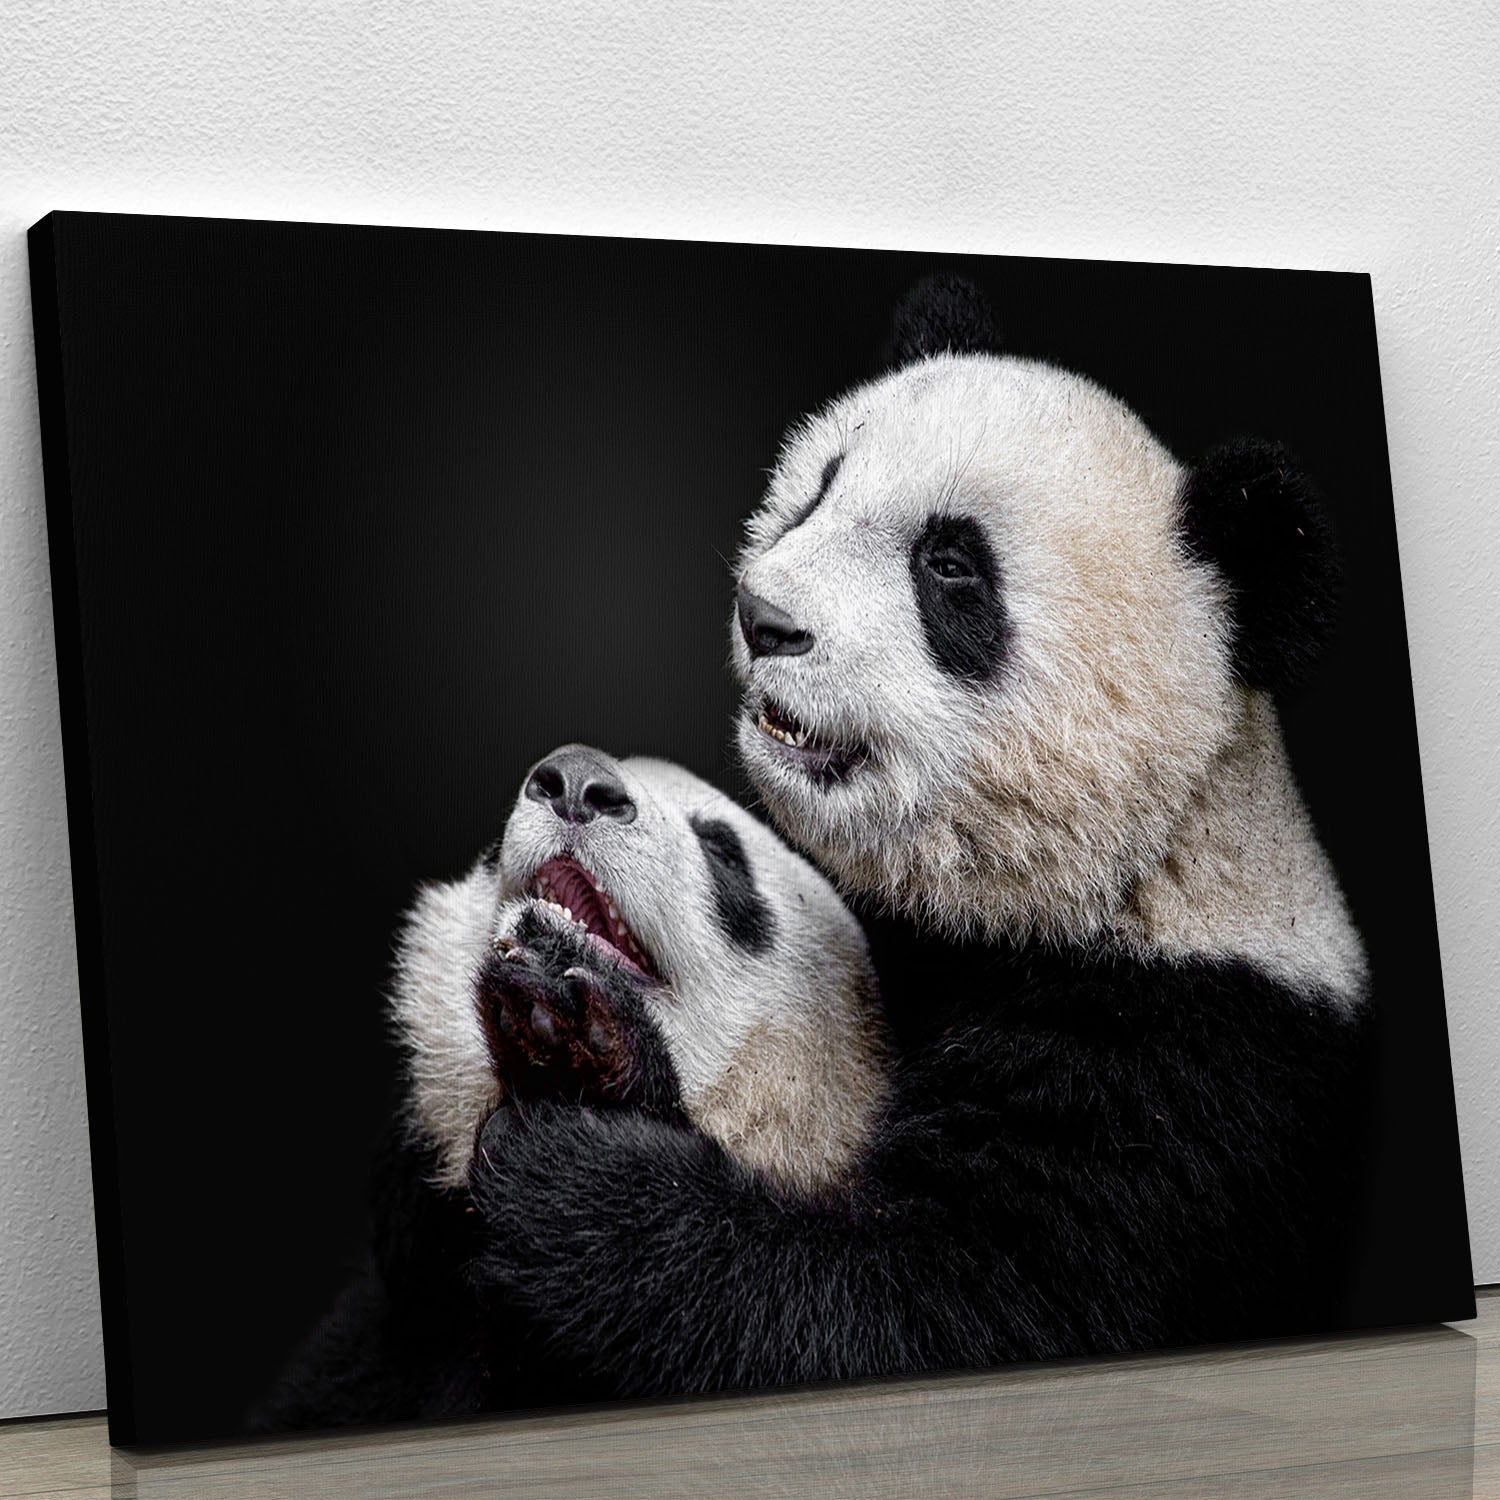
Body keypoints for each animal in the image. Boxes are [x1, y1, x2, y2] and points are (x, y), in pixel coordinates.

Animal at [464, 276, 1373, 1397]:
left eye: (949, 566)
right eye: (819, 487)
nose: (765, 617)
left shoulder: (1183, 1071)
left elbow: (932, 1305)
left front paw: (583, 1144)